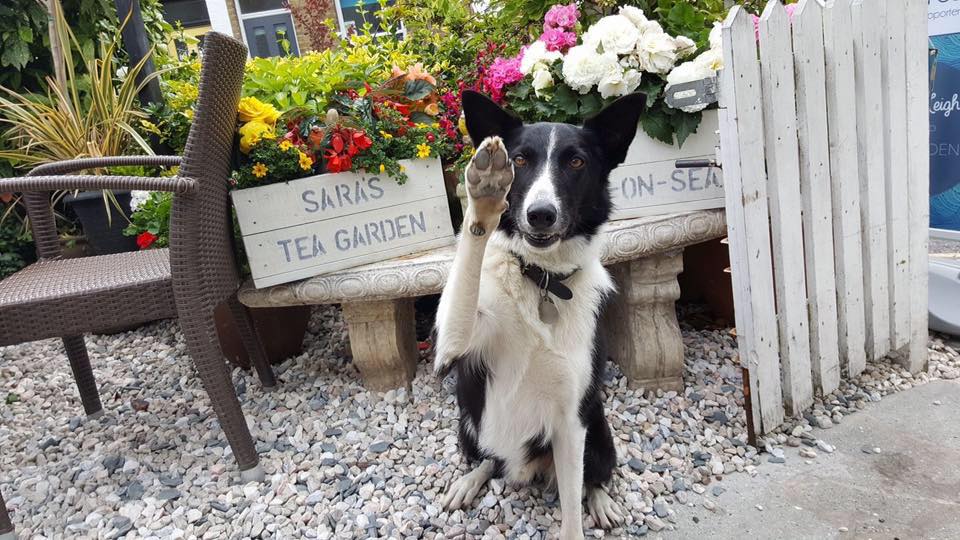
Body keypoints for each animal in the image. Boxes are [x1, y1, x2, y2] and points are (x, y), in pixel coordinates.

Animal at [436, 90, 644, 536]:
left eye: (576, 162)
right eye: (519, 159)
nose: (540, 215)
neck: (542, 282)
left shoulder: (571, 421)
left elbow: (572, 505)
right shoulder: (451, 345)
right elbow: (469, 261)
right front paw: (484, 195)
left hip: (598, 430)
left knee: (595, 476)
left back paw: (602, 501)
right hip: (467, 423)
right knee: (489, 459)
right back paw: (469, 480)